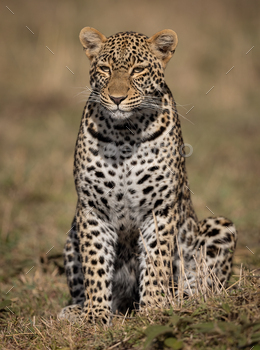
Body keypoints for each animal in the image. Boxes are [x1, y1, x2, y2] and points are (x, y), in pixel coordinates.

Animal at [57, 27, 238, 326]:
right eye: (105, 69)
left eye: (138, 69)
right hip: (72, 235)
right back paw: (75, 310)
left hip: (220, 227)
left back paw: (182, 301)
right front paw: (95, 314)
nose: (117, 98)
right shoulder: (92, 209)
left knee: (201, 285)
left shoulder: (159, 208)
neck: (125, 133)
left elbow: (157, 260)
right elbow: (95, 264)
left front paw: (153, 308)